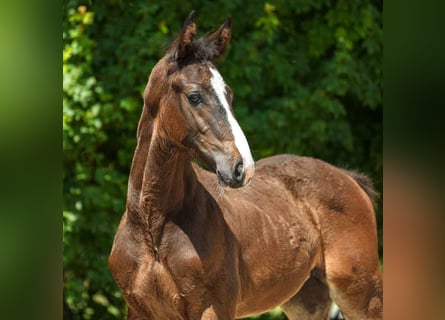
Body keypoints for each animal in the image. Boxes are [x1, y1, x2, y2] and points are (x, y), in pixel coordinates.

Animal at [107, 11, 382, 320]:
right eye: (194, 96)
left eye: (229, 94)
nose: (243, 167)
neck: (153, 225)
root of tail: (347, 178)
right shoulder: (138, 310)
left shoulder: (212, 308)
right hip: (305, 299)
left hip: (362, 293)